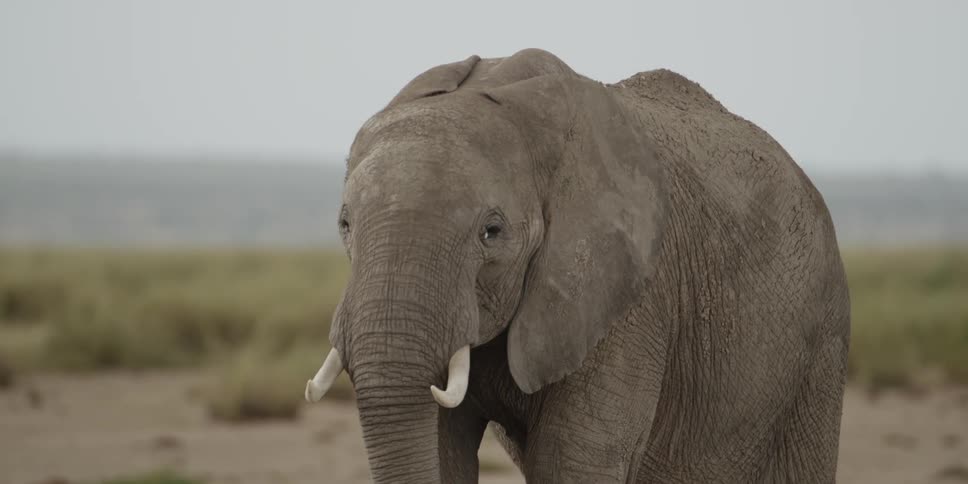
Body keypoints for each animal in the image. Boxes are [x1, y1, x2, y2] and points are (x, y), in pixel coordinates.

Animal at [304, 48, 850, 483]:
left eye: (492, 231)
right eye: (345, 224)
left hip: (821, 346)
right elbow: (441, 448)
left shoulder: (631, 300)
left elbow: (571, 463)